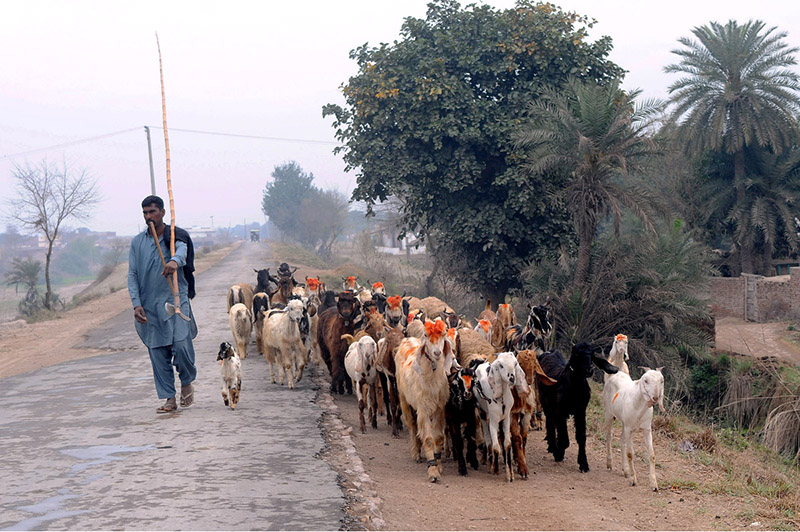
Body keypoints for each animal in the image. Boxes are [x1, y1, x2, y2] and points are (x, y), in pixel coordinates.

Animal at [536, 340, 620, 470]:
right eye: (577, 355)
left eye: (591, 355)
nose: (589, 370)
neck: (575, 388)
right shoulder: (561, 411)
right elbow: (565, 439)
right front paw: (559, 453)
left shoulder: (580, 410)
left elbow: (581, 437)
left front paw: (583, 463)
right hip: (545, 402)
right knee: (550, 422)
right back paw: (552, 446)